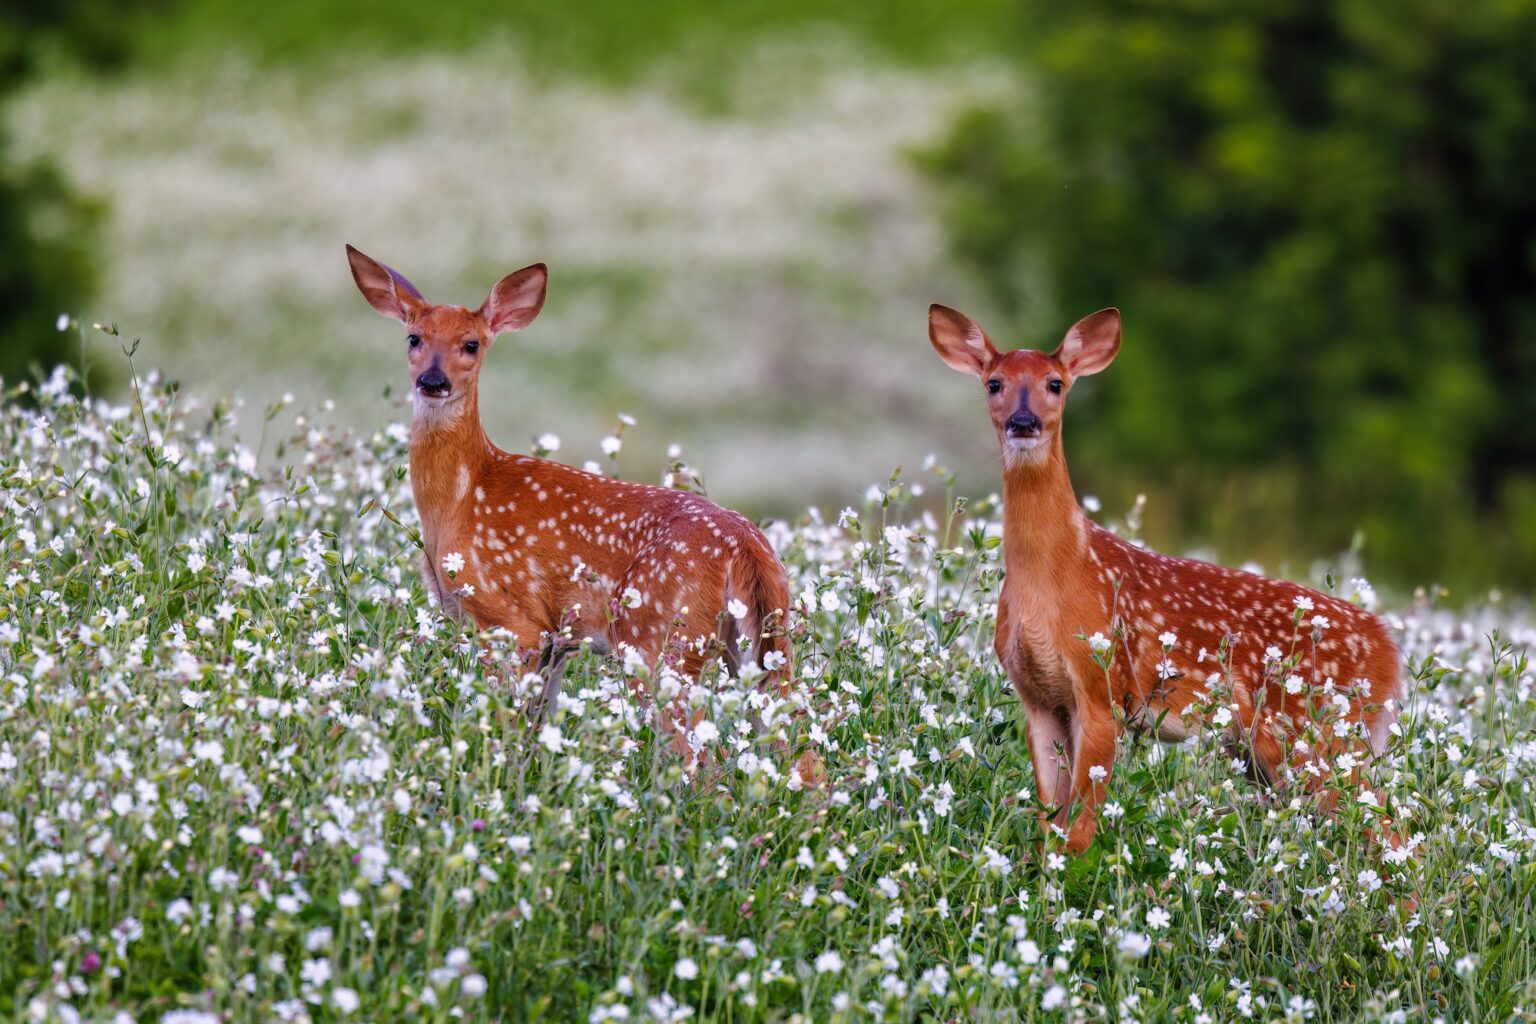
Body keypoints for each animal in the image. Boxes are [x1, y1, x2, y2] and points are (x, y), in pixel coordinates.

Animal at [345, 245, 793, 729]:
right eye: (414, 338)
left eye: (471, 344)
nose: (433, 381)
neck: (461, 500)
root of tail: (745, 545)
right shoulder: (558, 638)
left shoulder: (513, 620)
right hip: (759, 641)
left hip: (658, 634)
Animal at [928, 304, 1403, 854]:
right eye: (994, 383)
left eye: (1054, 383)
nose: (1023, 422)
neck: (1059, 575)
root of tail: (1389, 649)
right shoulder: (1039, 699)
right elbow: (1050, 822)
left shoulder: (1103, 687)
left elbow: (1080, 830)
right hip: (1269, 751)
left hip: (1317, 731)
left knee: (1390, 826)